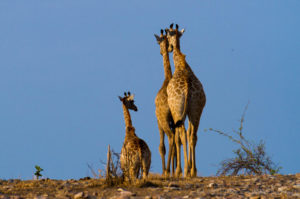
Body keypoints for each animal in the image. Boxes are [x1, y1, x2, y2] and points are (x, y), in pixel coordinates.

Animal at [166, 23, 206, 177]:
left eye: (167, 36)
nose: (169, 48)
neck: (181, 64)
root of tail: (188, 89)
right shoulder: (190, 111)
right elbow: (190, 135)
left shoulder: (174, 111)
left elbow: (178, 137)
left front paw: (179, 171)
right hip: (196, 110)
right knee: (193, 135)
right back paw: (193, 171)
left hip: (178, 111)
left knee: (182, 135)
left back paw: (184, 170)